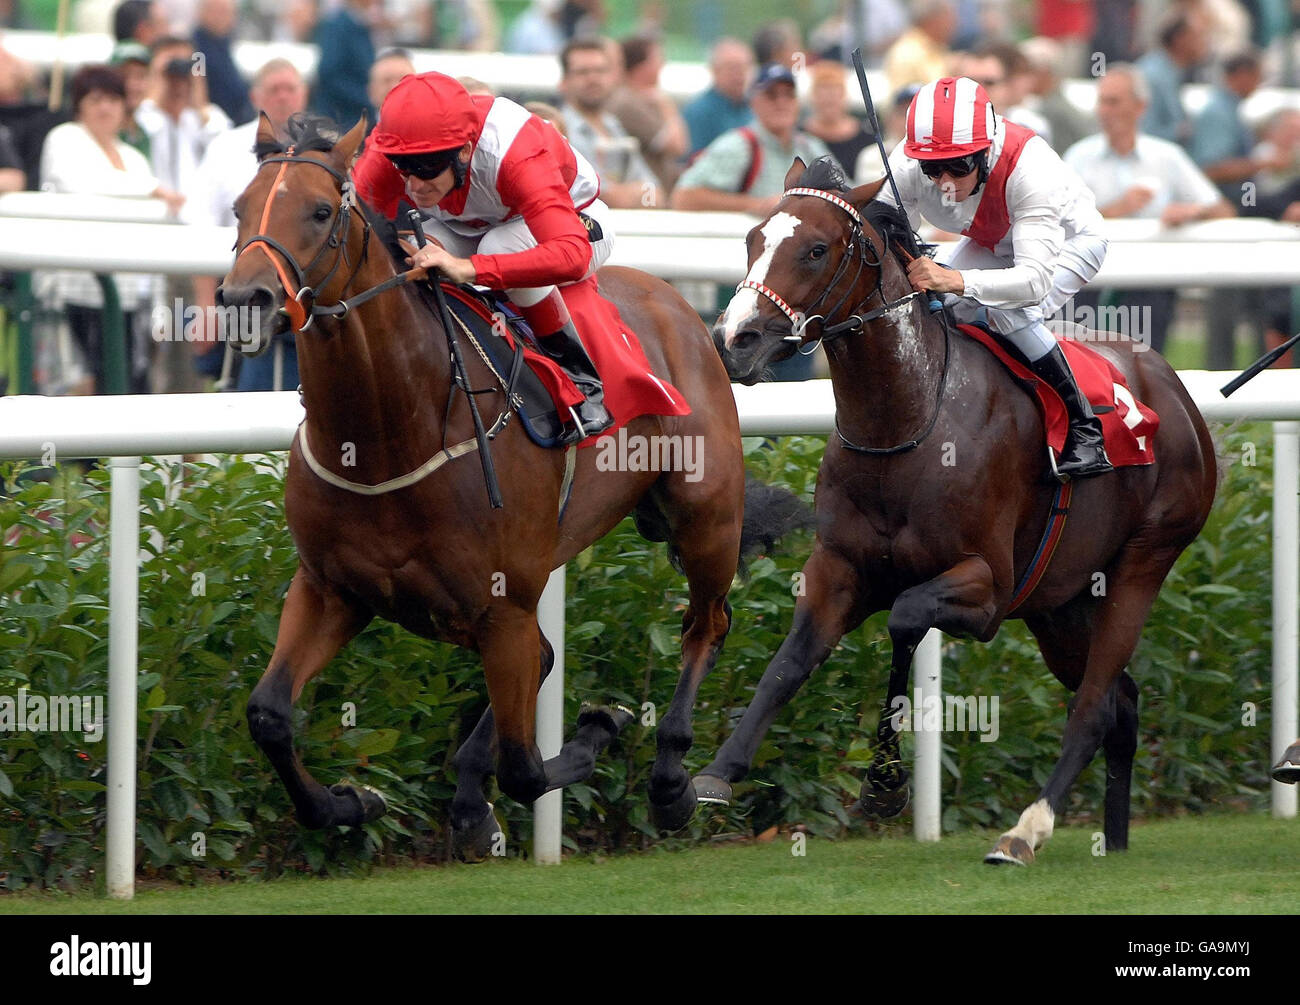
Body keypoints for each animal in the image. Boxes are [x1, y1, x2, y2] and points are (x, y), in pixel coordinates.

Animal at [215, 114, 805, 856]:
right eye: (240, 207)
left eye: (321, 211)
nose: (245, 299)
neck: (386, 435)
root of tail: (687, 311)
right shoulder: (333, 589)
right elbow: (268, 713)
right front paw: (352, 801)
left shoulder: (503, 608)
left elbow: (527, 767)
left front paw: (600, 728)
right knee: (552, 656)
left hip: (706, 517)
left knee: (706, 624)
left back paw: (672, 782)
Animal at [694, 157, 1219, 864]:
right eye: (753, 239)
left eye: (816, 249)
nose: (735, 340)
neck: (907, 423)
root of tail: (1175, 388)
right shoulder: (838, 567)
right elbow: (788, 664)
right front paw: (716, 774)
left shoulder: (988, 588)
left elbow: (904, 619)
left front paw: (884, 785)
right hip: (1061, 602)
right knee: (1121, 699)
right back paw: (1112, 837)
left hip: (1144, 561)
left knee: (1093, 706)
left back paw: (1025, 831)